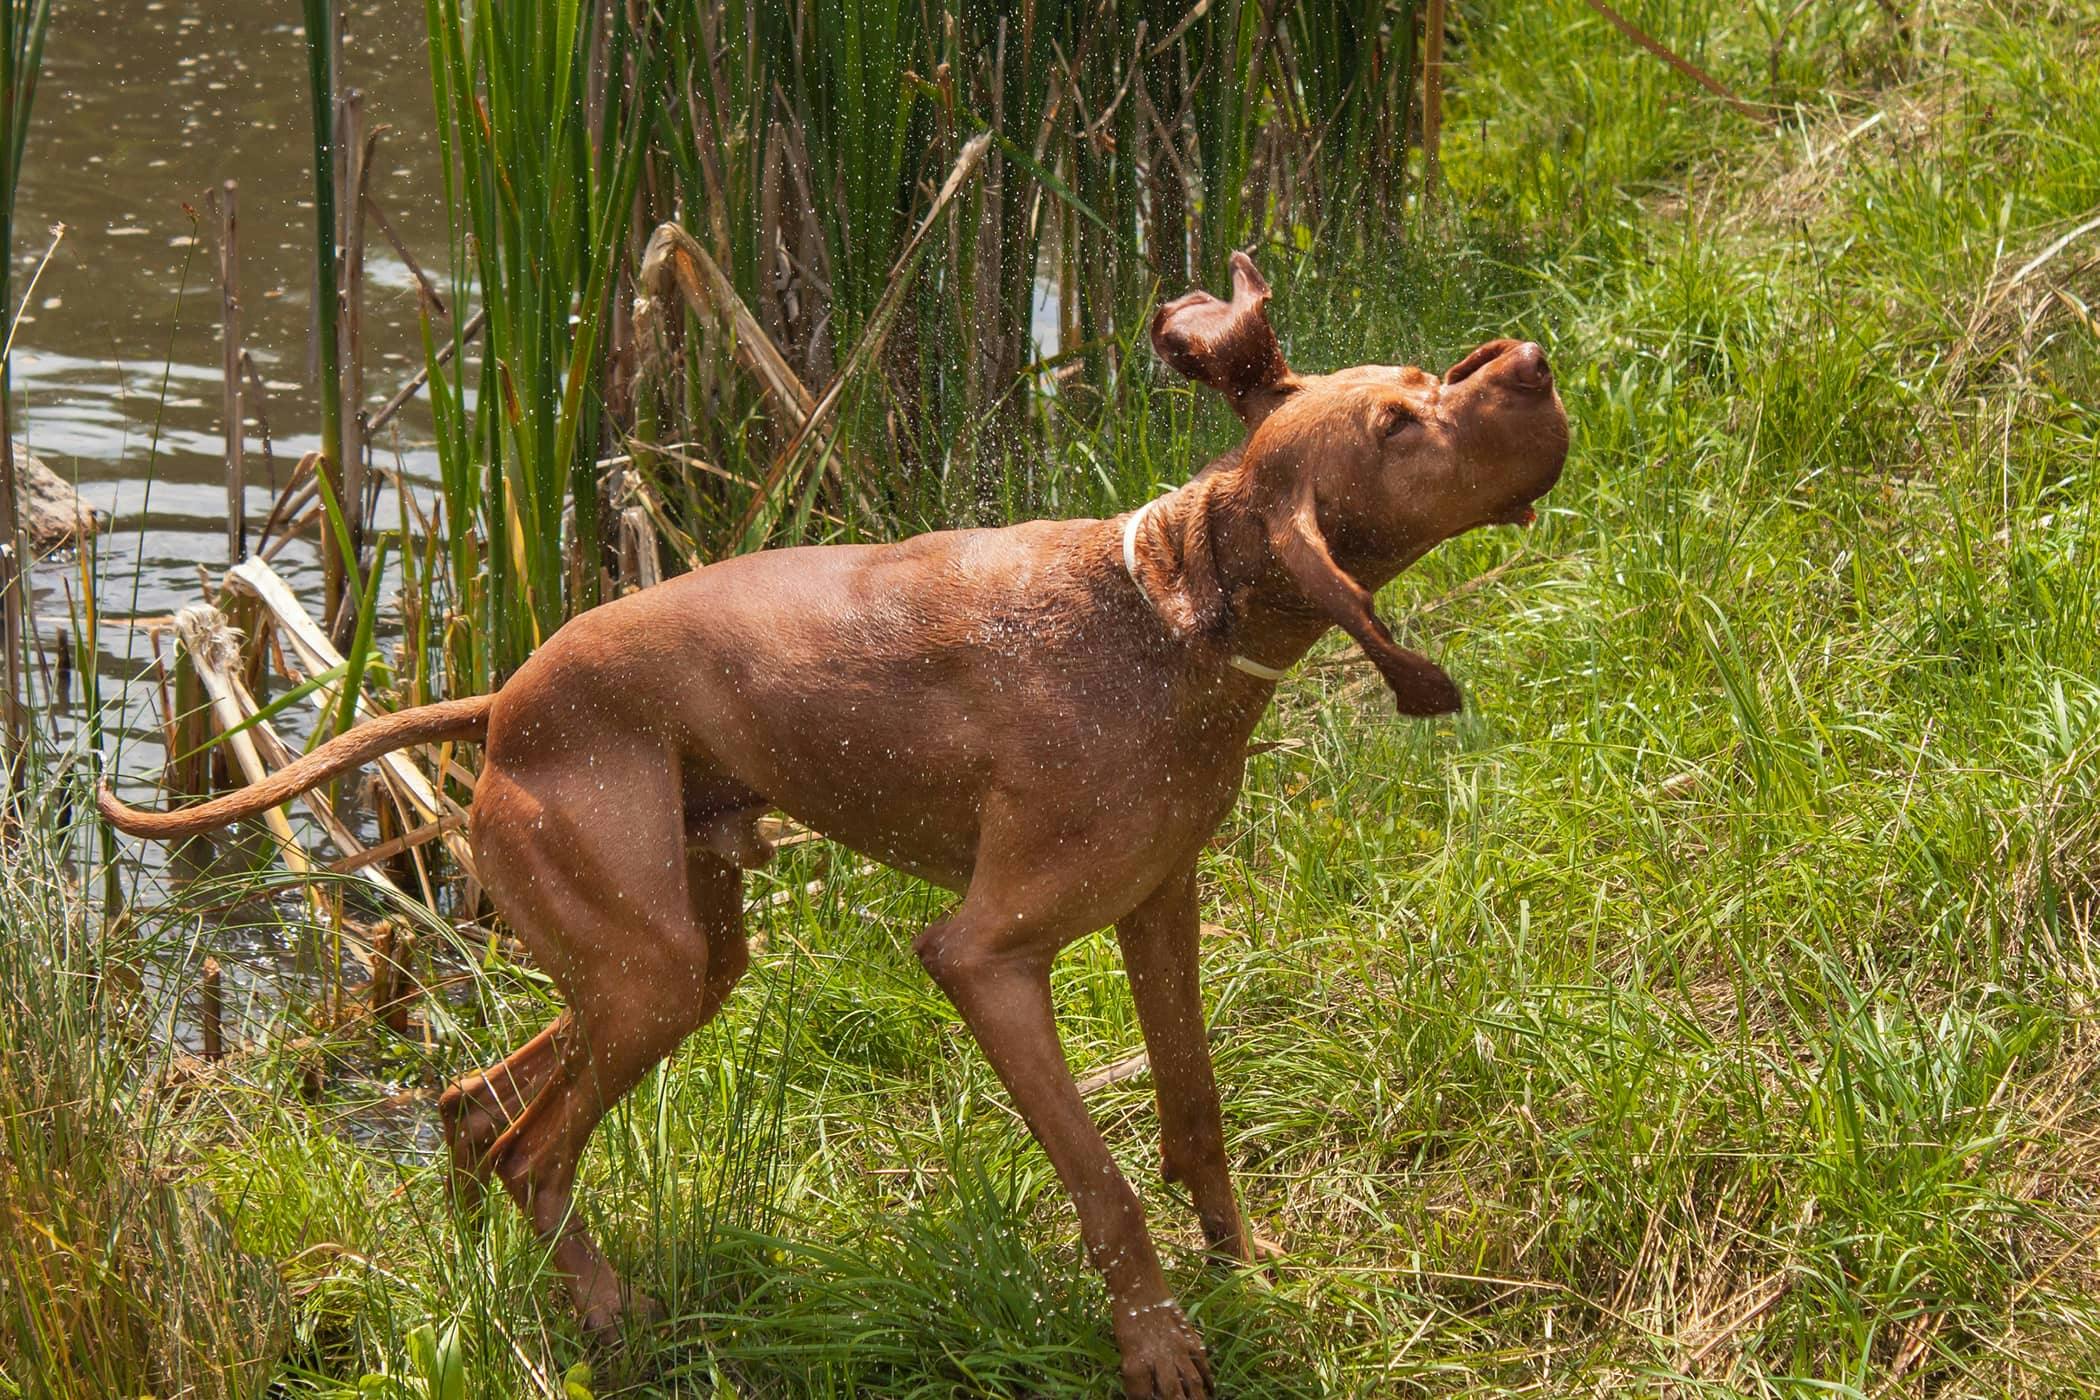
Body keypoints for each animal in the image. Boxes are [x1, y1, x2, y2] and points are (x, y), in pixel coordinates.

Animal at [106, 255, 1570, 1400]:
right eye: (1398, 423)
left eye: (1423, 383)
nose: (1530, 358)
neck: (1167, 611)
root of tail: (503, 701)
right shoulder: (985, 957)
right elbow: (1103, 1181)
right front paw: (1157, 1346)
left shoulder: (1164, 904)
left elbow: (1196, 1111)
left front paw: (1244, 1270)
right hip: (650, 973)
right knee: (533, 1148)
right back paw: (611, 1315)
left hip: (680, 959)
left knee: (474, 1106)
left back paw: (499, 1277)